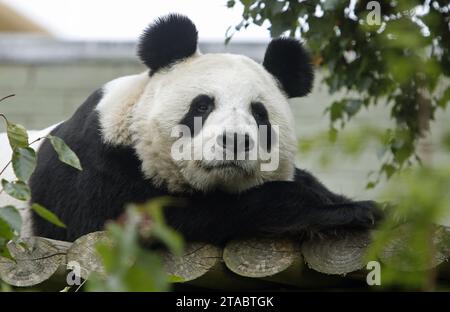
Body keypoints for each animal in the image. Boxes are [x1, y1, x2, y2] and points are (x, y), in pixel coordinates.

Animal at [28, 14, 382, 244]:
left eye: (259, 113)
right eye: (202, 106)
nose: (235, 141)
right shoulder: (93, 168)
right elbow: (147, 221)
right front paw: (342, 211)